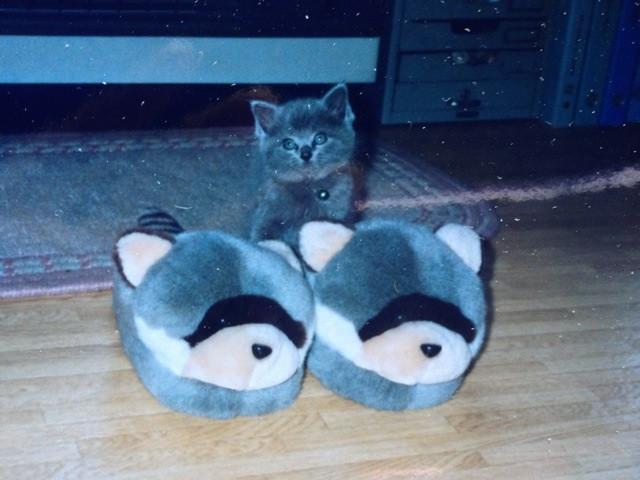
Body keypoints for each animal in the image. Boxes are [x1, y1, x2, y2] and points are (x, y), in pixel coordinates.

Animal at [247, 83, 361, 248]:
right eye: (288, 143)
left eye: (320, 138)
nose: (306, 154)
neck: (308, 184)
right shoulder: (266, 210)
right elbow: (262, 234)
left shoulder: (341, 212)